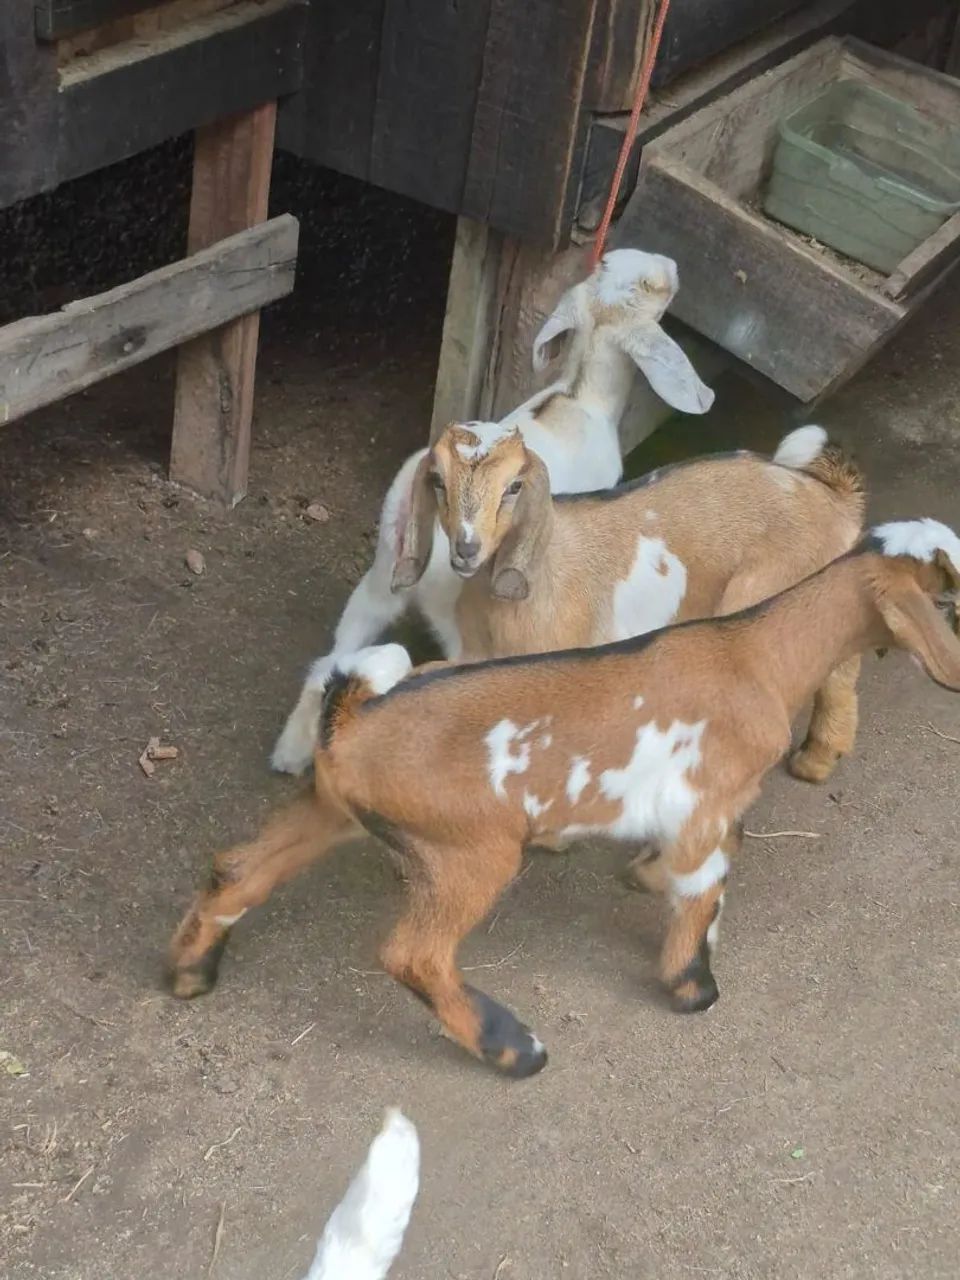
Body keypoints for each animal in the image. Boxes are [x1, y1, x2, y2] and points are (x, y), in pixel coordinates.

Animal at [170, 519, 960, 1077]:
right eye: (950, 597)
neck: (756, 655)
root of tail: (355, 716)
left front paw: (645, 877)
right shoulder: (707, 804)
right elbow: (704, 888)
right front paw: (692, 987)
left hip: (330, 810)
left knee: (239, 870)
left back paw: (189, 972)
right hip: (471, 852)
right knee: (413, 954)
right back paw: (513, 1049)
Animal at [271, 248, 714, 775]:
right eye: (650, 286)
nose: (673, 267)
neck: (579, 394)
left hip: (379, 580)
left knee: (329, 662)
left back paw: (290, 754)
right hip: (457, 615)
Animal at [390, 422, 865, 786]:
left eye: (514, 486)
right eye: (438, 481)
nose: (467, 549)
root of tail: (834, 502)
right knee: (841, 670)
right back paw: (816, 762)